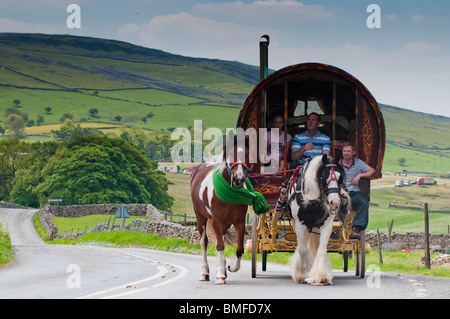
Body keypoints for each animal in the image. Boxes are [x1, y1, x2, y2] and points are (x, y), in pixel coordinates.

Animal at [189, 131, 250, 286]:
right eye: (231, 153)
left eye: (247, 154)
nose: (239, 180)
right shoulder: (216, 219)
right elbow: (220, 246)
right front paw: (221, 275)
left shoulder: (239, 222)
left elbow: (239, 249)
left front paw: (230, 267)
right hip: (201, 218)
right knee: (204, 243)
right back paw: (205, 273)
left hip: (225, 223)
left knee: (219, 239)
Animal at [288, 154, 348, 284]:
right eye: (324, 176)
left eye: (339, 176)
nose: (335, 202)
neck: (313, 201)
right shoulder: (300, 224)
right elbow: (303, 250)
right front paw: (301, 274)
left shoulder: (327, 225)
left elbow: (321, 250)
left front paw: (321, 276)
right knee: (303, 246)